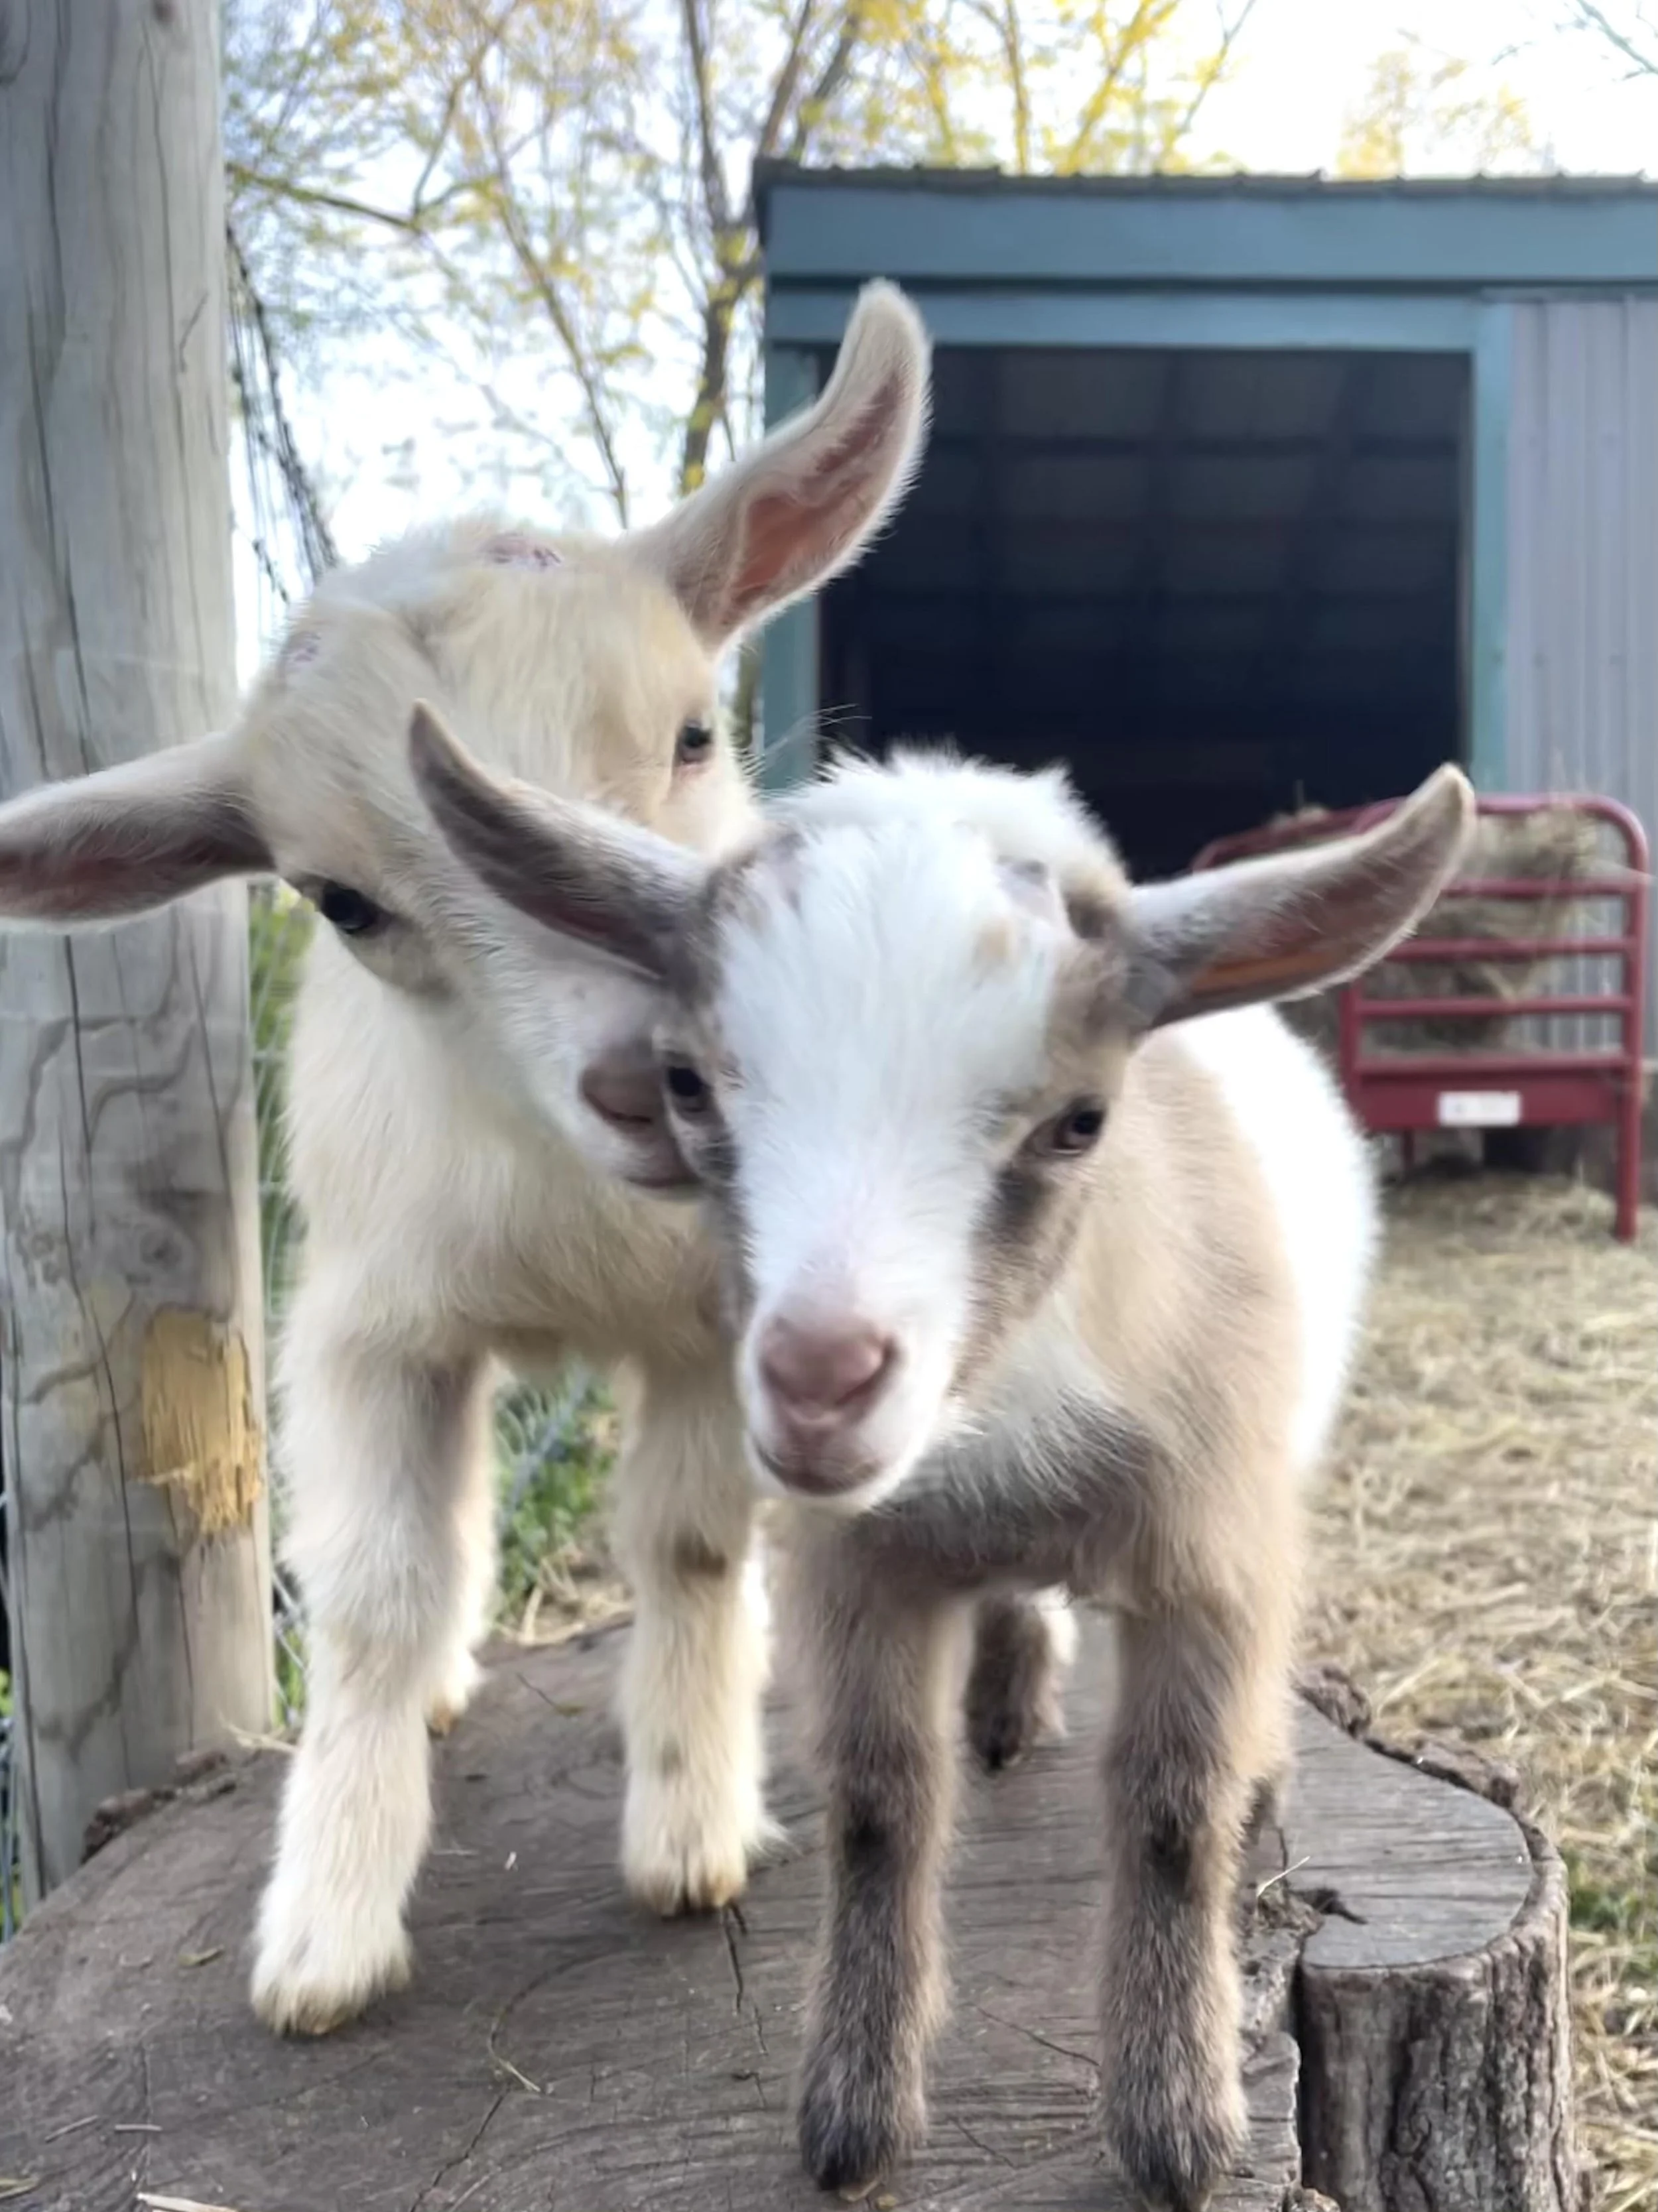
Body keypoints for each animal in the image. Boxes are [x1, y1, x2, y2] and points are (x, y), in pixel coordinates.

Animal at [0, 284, 1075, 2040]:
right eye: (340, 900)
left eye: (696, 731)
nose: (653, 1072)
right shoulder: (366, 1323)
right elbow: (369, 1590)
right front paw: (324, 1933)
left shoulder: (726, 1329)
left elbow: (690, 1545)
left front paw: (691, 1833)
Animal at [408, 730, 1475, 2209]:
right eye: (689, 1086)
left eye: (1079, 1120)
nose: (817, 1379)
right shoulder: (858, 1565)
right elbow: (877, 1805)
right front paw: (851, 2120)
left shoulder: (1210, 1549)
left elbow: (1172, 1812)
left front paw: (1178, 2127)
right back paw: (1007, 1702)